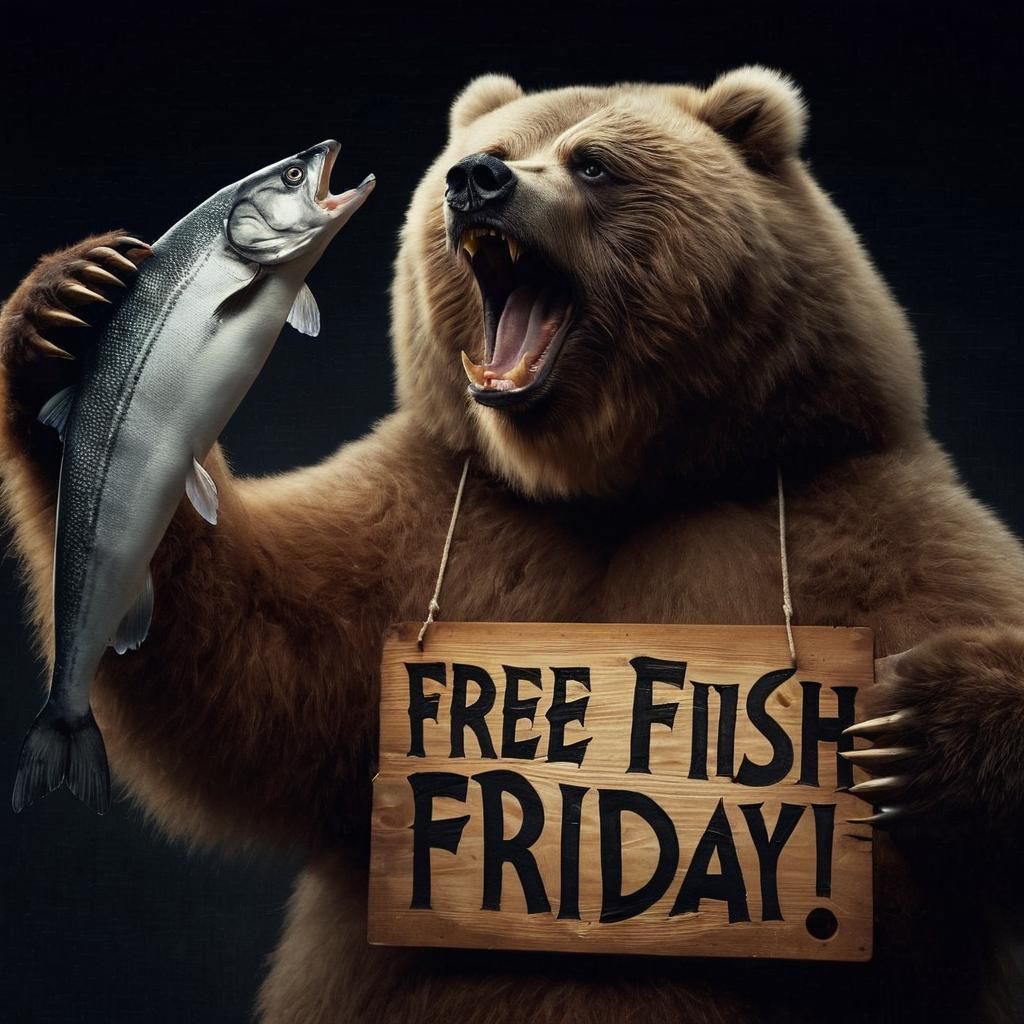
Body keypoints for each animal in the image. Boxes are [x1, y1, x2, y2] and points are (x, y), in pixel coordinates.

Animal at [2, 66, 1024, 1023]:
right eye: (491, 149)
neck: (608, 486)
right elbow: (268, 670)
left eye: (594, 163)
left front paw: (911, 723)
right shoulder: (441, 521)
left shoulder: (842, 514)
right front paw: (68, 304)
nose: (477, 182)